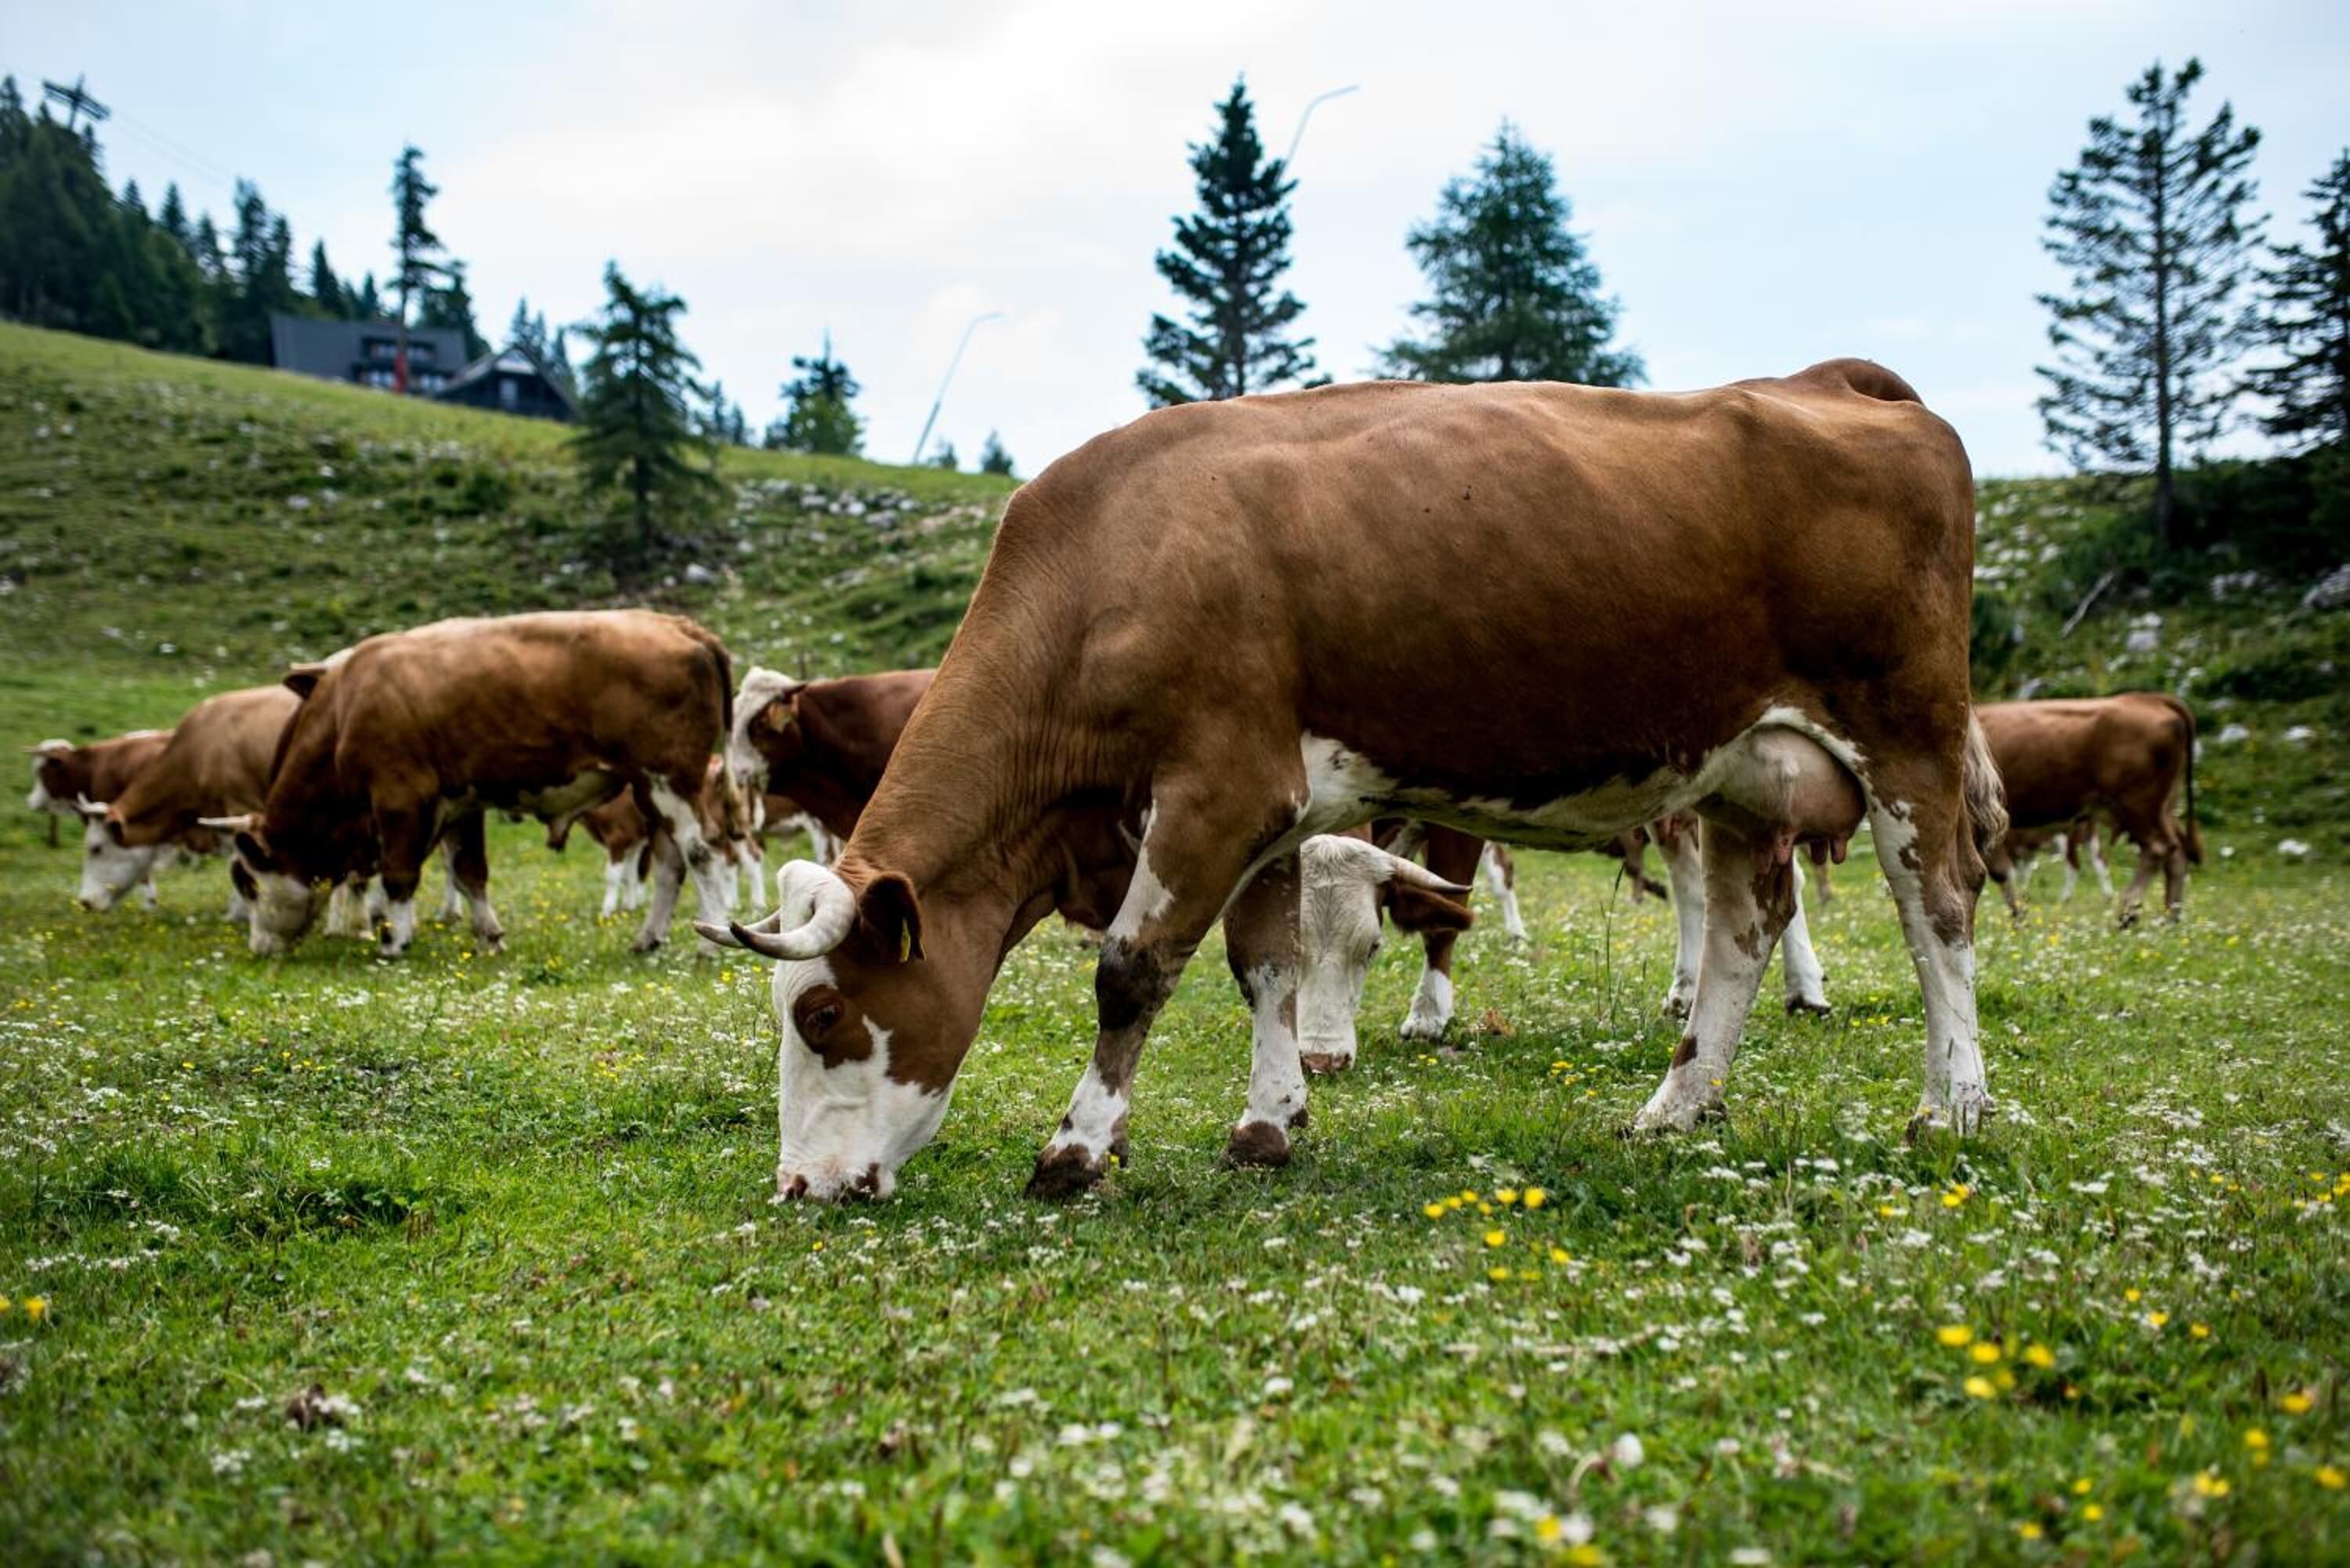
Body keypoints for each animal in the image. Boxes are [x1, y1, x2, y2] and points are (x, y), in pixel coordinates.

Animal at [211, 610, 737, 957]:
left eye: (249, 883)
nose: (258, 947)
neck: (347, 706)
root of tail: (680, 626)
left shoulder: (400, 799)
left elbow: (399, 874)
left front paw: (395, 941)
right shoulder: (461, 804)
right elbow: (470, 874)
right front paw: (489, 935)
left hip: (669, 782)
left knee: (701, 855)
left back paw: (711, 942)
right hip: (651, 792)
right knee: (671, 864)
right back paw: (649, 937)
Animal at [700, 361, 2004, 1202]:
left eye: (823, 1014)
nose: (798, 1184)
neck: (1113, 562)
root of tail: (1840, 385)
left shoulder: (1217, 786)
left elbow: (1133, 971)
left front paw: (1077, 1147)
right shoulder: (1274, 813)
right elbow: (1264, 964)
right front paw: (1269, 1122)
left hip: (1907, 736)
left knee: (1936, 908)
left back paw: (1953, 1103)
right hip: (1740, 769)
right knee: (1743, 926)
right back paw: (1677, 1105)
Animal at [1979, 694, 2201, 925]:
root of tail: (2148, 699)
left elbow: (1999, 871)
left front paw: (2018, 917)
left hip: (2138, 804)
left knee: (2158, 849)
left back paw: (2128, 912)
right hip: (2163, 807)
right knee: (2177, 853)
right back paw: (2170, 918)